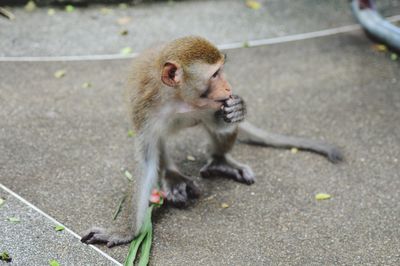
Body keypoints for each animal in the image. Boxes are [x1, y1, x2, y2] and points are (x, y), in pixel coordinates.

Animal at [80, 35, 340, 247]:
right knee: (160, 142)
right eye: (214, 74)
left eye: (222, 71)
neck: (178, 97)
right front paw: (126, 232)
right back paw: (173, 176)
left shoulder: (214, 103)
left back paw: (221, 161)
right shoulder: (144, 108)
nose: (229, 86)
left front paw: (239, 108)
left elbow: (220, 122)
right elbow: (146, 159)